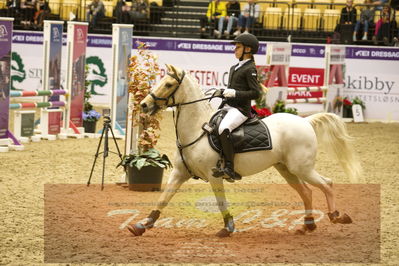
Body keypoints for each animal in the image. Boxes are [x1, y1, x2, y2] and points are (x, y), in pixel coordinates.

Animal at [129, 64, 362, 237]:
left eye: (168, 84)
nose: (144, 105)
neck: (197, 129)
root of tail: (306, 121)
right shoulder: (179, 173)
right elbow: (162, 199)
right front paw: (142, 225)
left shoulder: (214, 177)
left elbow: (221, 202)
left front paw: (228, 228)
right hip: (286, 169)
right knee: (307, 192)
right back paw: (308, 225)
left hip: (302, 168)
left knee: (327, 184)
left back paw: (336, 216)